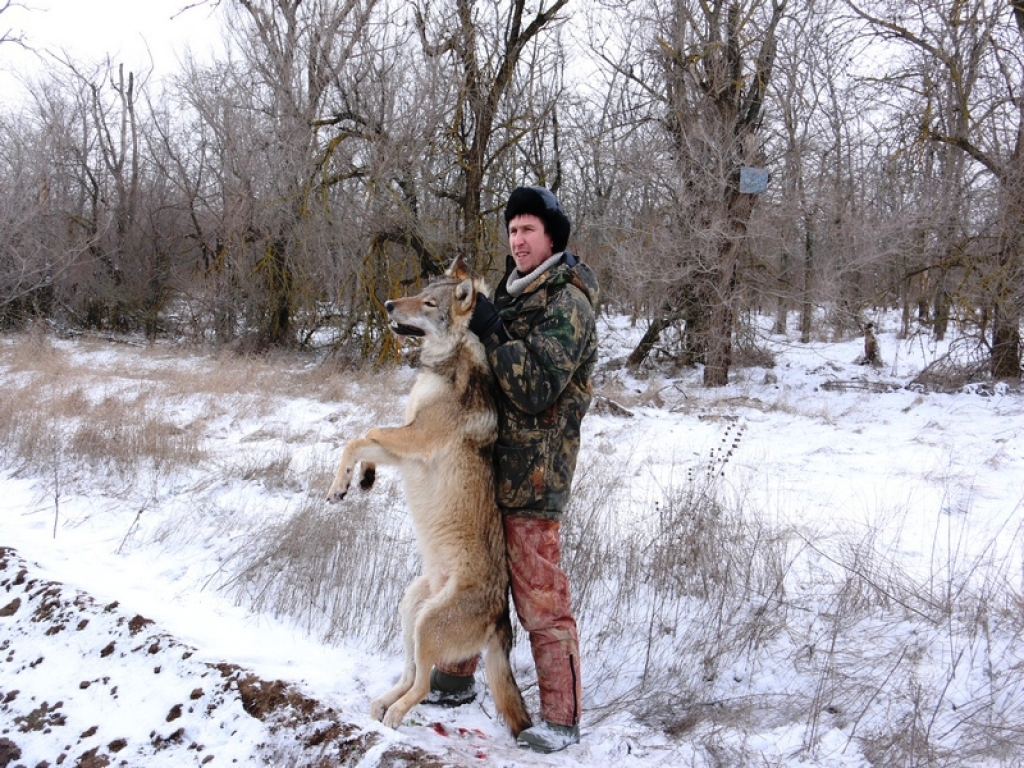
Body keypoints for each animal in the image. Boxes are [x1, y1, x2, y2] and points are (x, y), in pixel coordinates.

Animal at [325, 259, 536, 741]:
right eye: (416, 291)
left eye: (427, 303)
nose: (387, 303)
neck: (443, 364)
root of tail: (501, 622)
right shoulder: (406, 447)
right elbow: (362, 441)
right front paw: (358, 480)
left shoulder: (417, 438)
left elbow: (364, 434)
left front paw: (342, 484)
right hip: (410, 610)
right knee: (408, 675)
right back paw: (383, 704)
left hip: (426, 624)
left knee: (420, 684)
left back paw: (395, 716)